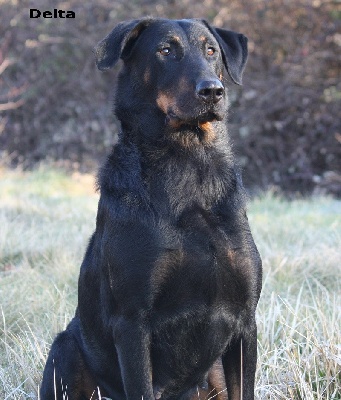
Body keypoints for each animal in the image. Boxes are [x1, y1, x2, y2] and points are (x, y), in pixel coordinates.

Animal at [41, 17, 262, 398]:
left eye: (211, 50)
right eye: (165, 50)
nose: (212, 91)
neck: (189, 163)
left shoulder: (245, 320)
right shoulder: (133, 321)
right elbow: (141, 385)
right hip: (65, 349)